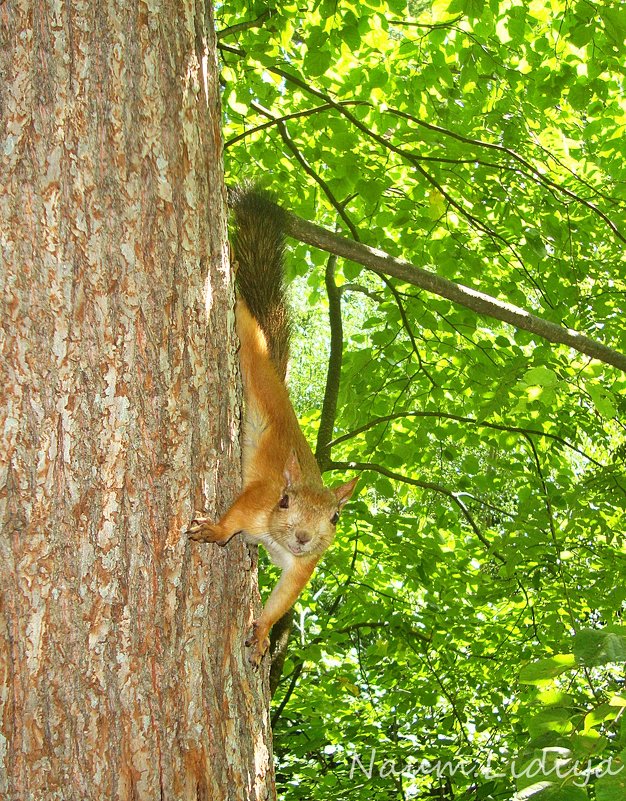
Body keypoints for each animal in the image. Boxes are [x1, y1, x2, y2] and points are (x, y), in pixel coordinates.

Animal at [186, 186, 356, 664]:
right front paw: (216, 530)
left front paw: (262, 630)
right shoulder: (257, 499)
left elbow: (283, 599)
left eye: (336, 517)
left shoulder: (303, 567)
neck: (278, 542)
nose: (302, 537)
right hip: (251, 350)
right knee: (246, 321)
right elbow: (235, 516)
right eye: (284, 501)